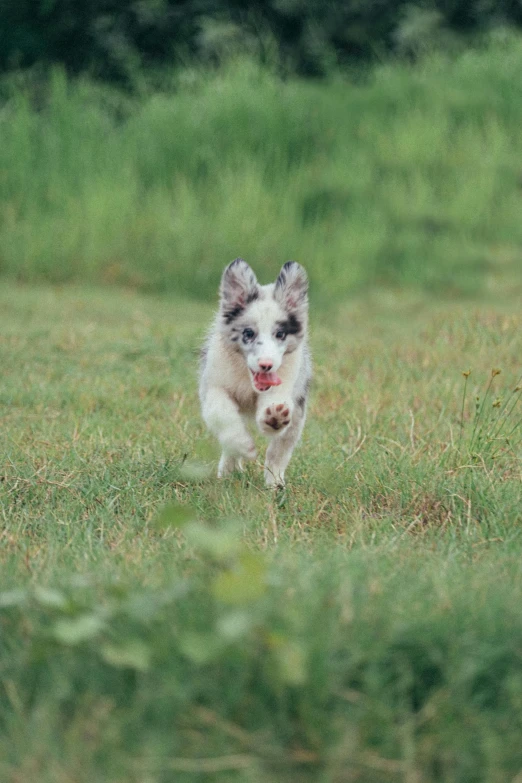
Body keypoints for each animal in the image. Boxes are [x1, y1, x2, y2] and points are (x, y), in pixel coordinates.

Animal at [199, 260, 308, 486]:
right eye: (248, 333)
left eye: (280, 334)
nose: (266, 365)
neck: (247, 381)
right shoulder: (213, 386)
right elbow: (223, 415)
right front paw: (244, 446)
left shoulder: (285, 386)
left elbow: (273, 410)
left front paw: (274, 417)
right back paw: (228, 472)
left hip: (297, 416)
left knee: (279, 452)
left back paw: (275, 483)